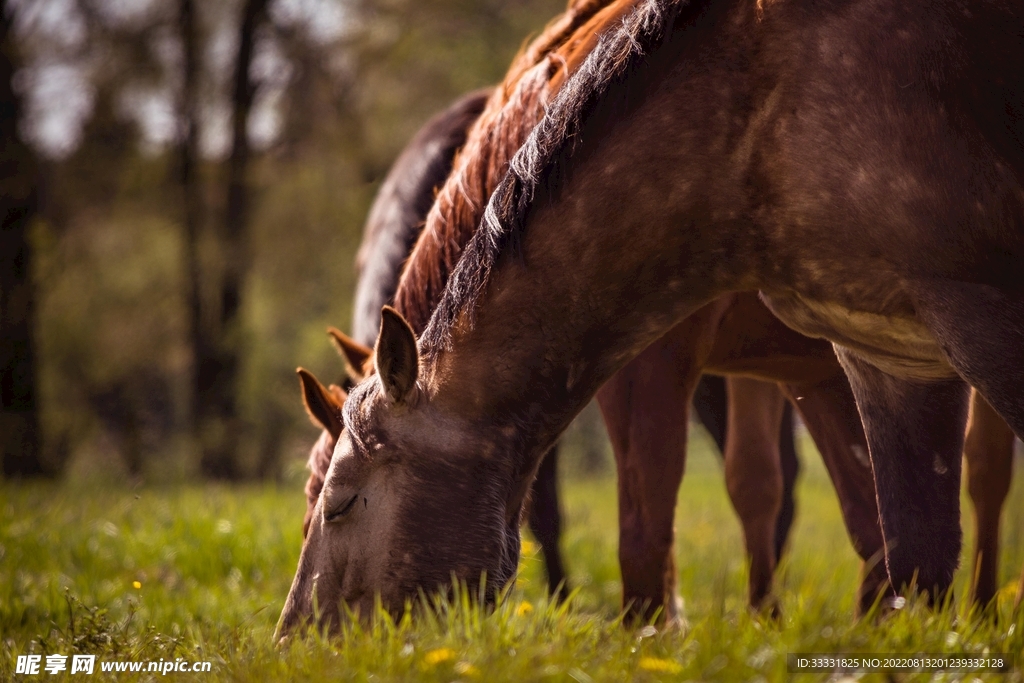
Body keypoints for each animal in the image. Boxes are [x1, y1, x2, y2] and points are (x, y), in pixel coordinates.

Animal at [279, 0, 1024, 634]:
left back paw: (987, 610)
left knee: (987, 473)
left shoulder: (662, 362)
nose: (297, 640)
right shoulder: (820, 358)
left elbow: (646, 527)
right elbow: (806, 501)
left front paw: (653, 635)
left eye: (338, 503)